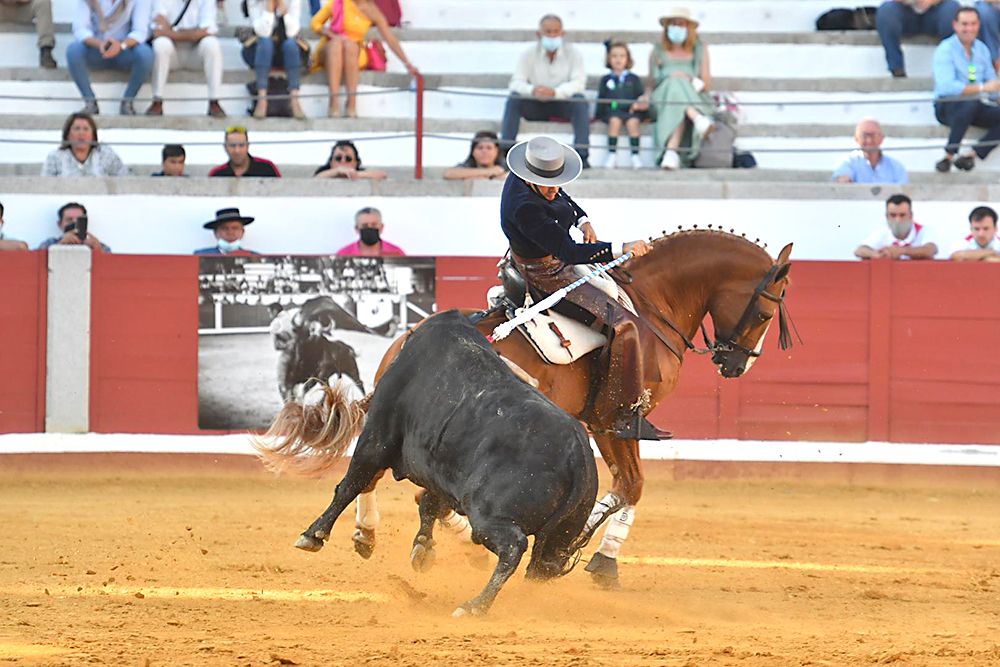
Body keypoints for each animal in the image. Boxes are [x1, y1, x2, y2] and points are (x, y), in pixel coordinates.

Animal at [278, 312, 612, 616]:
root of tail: (578, 455)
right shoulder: (442, 472)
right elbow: (429, 503)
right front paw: (423, 548)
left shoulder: (376, 438)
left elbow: (350, 484)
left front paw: (313, 534)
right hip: (560, 534)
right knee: (539, 566)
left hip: (488, 516)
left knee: (513, 546)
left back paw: (475, 606)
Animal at [318, 232, 788, 588]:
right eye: (766, 312)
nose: (737, 364)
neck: (651, 306)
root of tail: (404, 339)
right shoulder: (614, 423)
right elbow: (631, 486)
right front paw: (601, 560)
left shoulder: (604, 426)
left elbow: (625, 488)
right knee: (380, 469)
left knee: (387, 475)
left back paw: (382, 534)